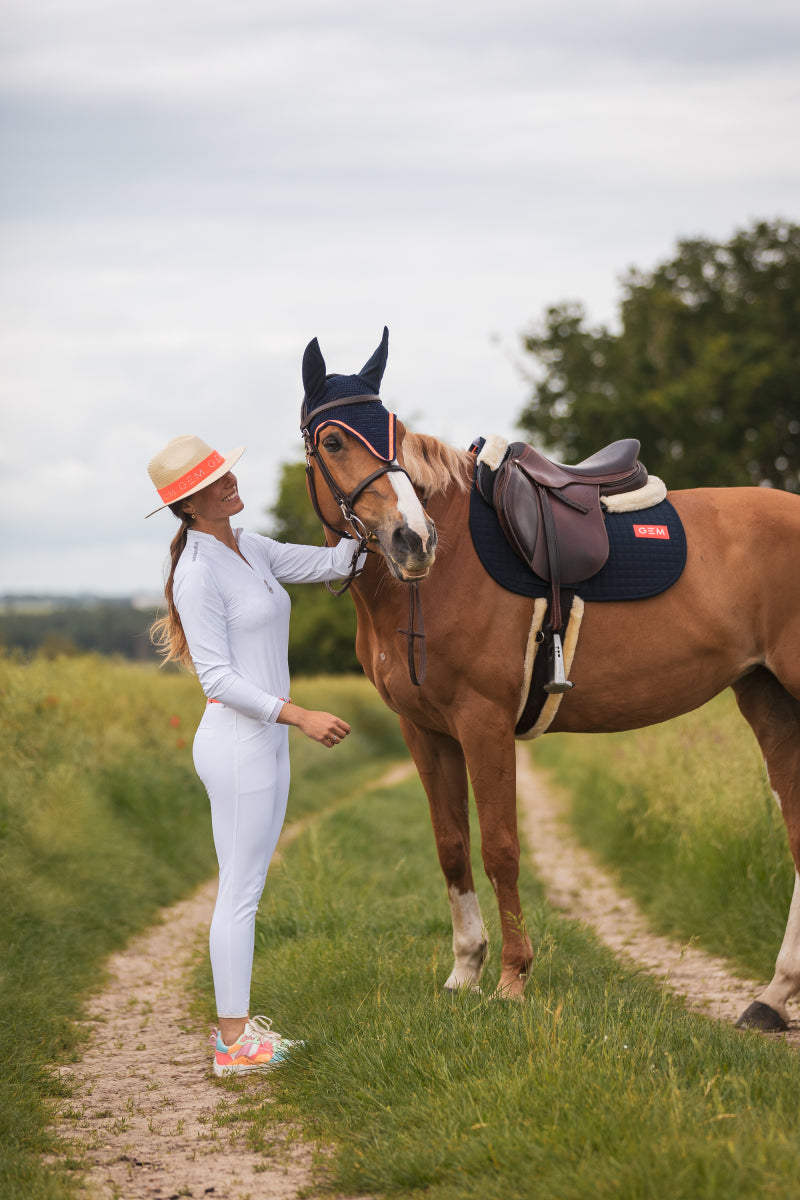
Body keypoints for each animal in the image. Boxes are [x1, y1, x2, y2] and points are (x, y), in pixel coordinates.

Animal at [298, 336, 800, 1032]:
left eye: (393, 431)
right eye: (334, 440)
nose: (412, 539)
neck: (442, 574)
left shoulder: (483, 723)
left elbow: (501, 848)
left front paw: (512, 979)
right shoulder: (424, 730)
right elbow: (451, 846)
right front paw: (464, 972)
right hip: (768, 697)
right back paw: (773, 997)